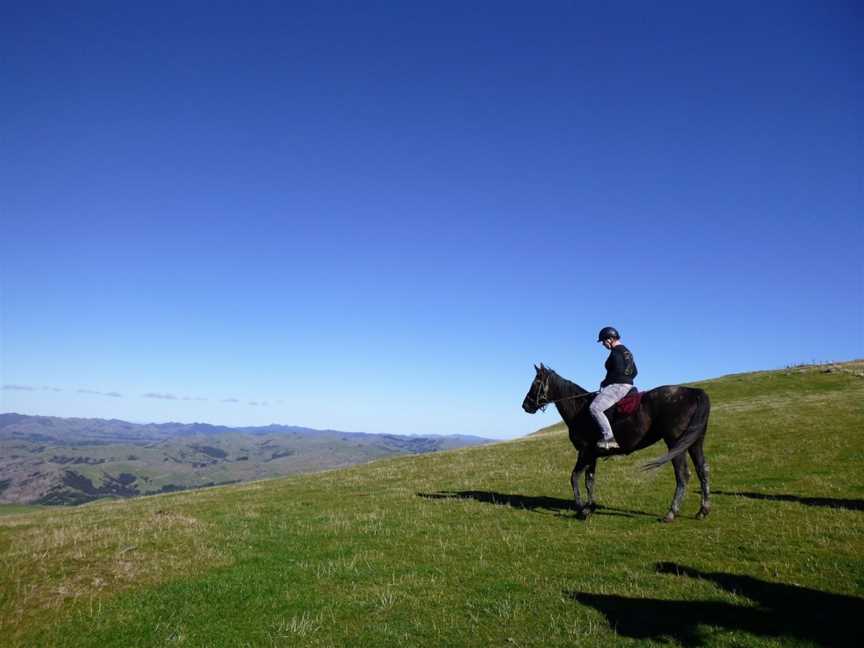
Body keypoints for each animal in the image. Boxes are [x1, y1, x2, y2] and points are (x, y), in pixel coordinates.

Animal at [520, 364, 708, 520]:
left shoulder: (584, 452)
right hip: (695, 443)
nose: (526, 406)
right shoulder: (592, 455)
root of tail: (693, 392)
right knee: (702, 470)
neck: (580, 409)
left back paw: (671, 512)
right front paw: (590, 507)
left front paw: (581, 508)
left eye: (536, 382)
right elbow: (590, 480)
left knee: (683, 475)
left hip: (676, 444)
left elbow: (574, 477)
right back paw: (703, 511)